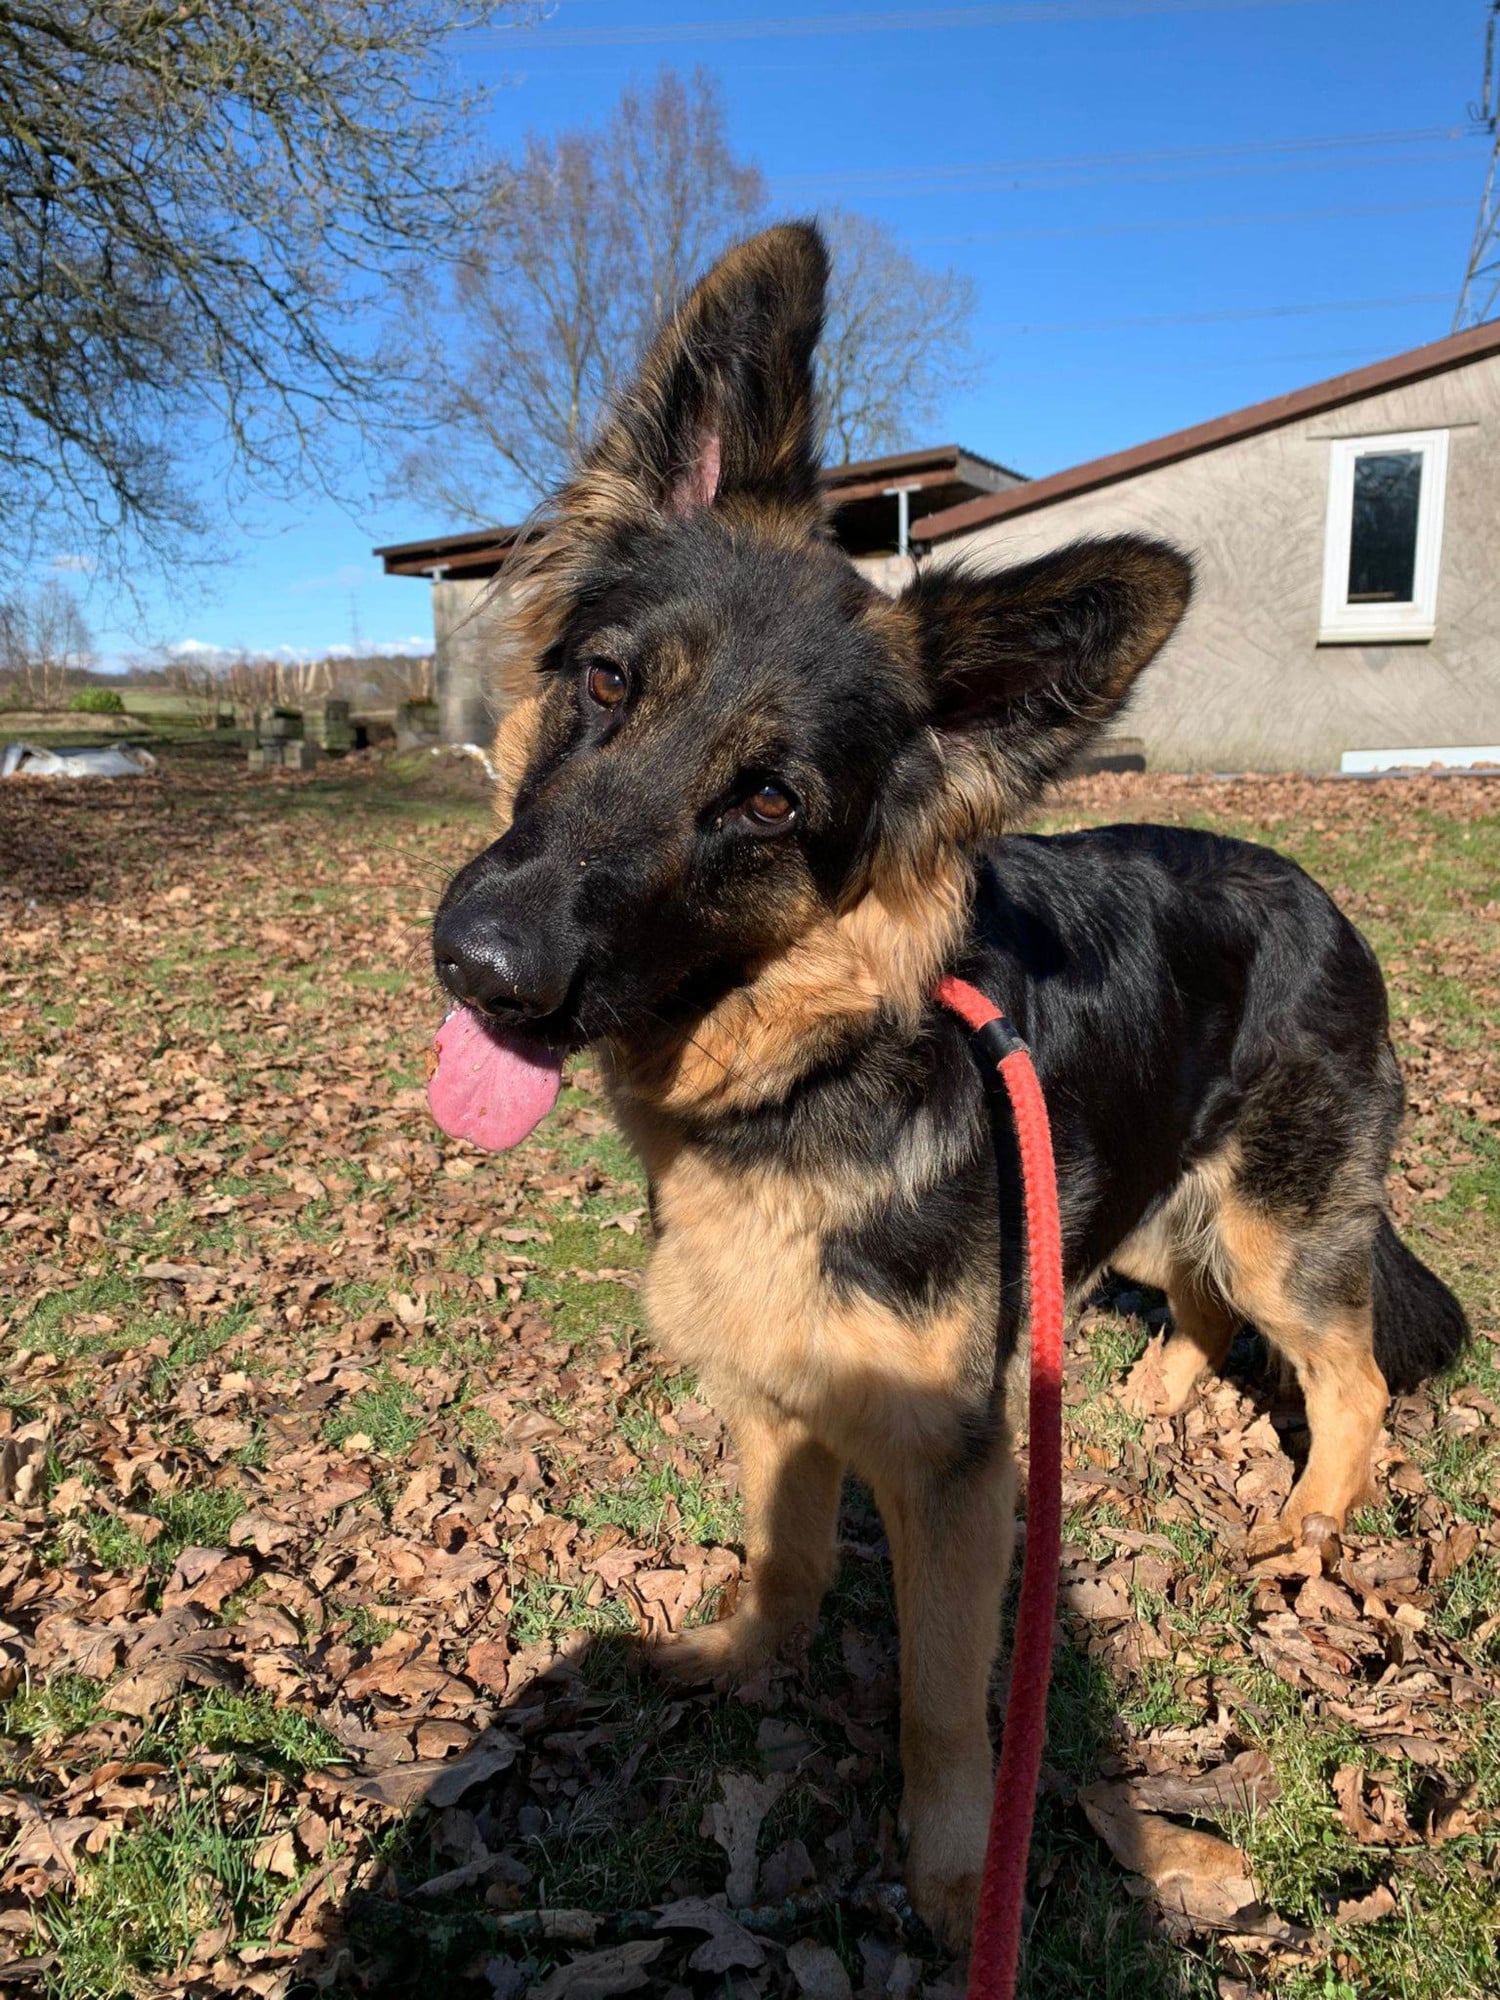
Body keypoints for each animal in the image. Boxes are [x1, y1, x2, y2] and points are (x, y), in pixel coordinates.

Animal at [428, 223, 1472, 1952]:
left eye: (770, 802)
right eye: (606, 685)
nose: (483, 965)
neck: (815, 1066)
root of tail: (1320, 895)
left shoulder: (952, 1477)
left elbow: (937, 1697)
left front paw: (947, 1875)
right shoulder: (777, 1393)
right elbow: (781, 1559)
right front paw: (745, 1661)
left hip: (1277, 1229)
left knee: (1348, 1378)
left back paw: (1313, 1523)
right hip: (1139, 1197)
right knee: (1192, 1301)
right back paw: (1152, 1392)